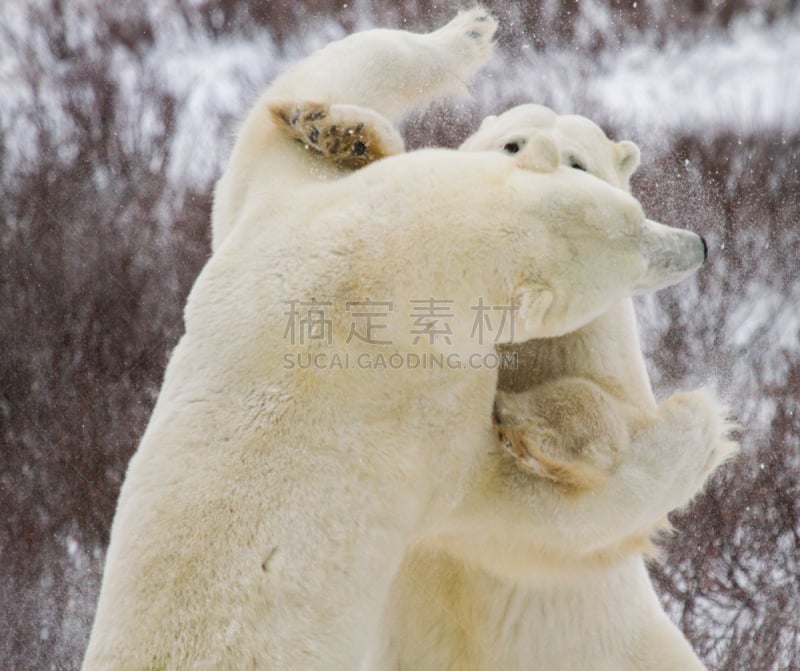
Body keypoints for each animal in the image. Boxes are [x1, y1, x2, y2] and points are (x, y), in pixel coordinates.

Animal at [83, 9, 724, 671]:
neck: (366, 272)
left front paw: (351, 115)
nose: (699, 245)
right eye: (634, 241)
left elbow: (293, 106)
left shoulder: (284, 223)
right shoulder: (428, 418)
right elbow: (529, 521)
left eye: (624, 205)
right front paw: (696, 422)